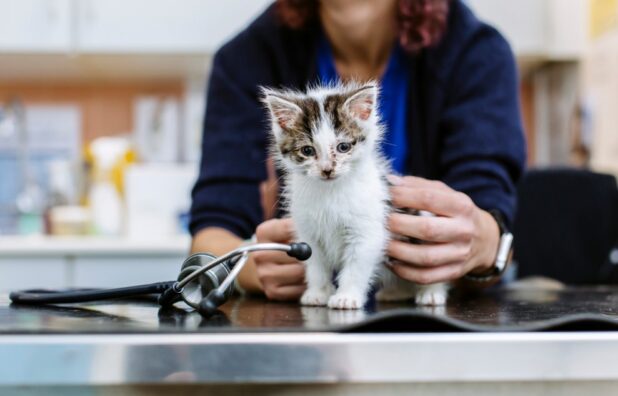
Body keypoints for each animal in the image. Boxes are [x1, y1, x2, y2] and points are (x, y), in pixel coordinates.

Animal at [262, 80, 448, 310]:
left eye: (343, 147)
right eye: (307, 151)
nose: (327, 170)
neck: (330, 192)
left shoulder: (367, 231)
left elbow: (356, 266)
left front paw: (346, 296)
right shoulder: (308, 233)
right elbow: (315, 264)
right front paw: (317, 293)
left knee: (430, 273)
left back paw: (431, 293)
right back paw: (394, 292)